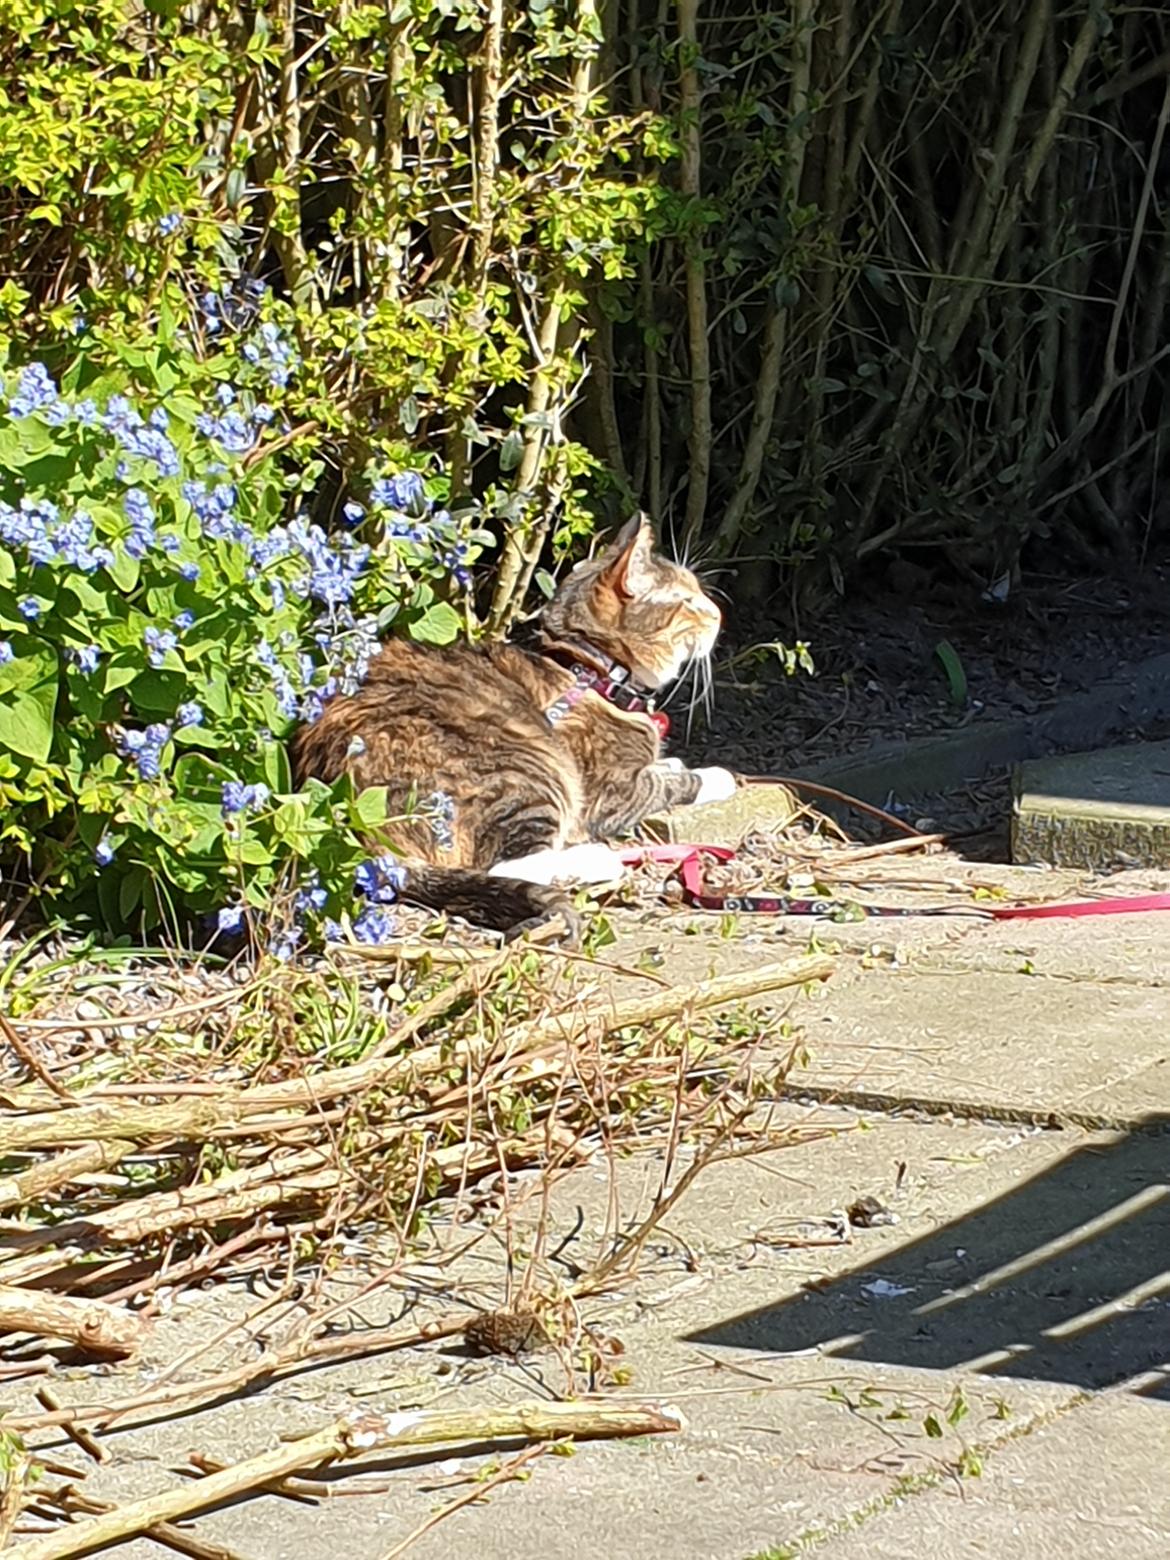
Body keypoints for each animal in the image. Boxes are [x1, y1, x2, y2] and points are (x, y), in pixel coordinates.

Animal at [294, 517, 733, 935]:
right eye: (687, 601)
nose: (719, 614)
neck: (592, 669)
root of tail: (360, 830)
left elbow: (665, 768)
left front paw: (673, 762)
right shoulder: (610, 793)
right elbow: (671, 784)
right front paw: (716, 776)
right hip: (528, 774)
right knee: (507, 865)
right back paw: (598, 860)